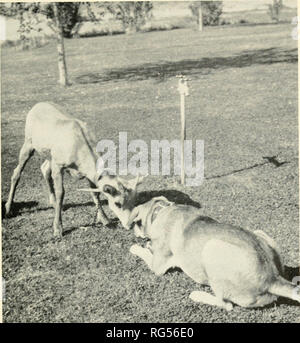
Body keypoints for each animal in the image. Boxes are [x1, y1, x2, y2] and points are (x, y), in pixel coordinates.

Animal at [4, 102, 141, 236]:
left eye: (133, 201)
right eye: (118, 203)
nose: (129, 225)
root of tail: (37, 105)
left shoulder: (86, 172)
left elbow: (95, 193)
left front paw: (105, 220)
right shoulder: (58, 165)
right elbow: (61, 192)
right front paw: (58, 228)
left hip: (49, 154)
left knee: (44, 169)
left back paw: (53, 202)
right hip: (28, 143)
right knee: (17, 173)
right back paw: (8, 209)